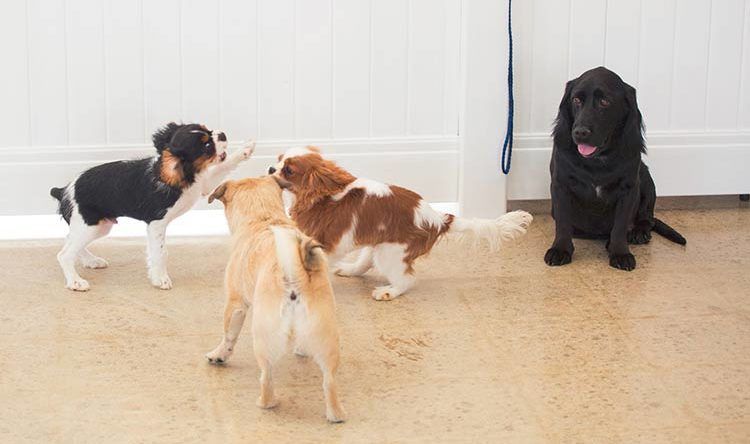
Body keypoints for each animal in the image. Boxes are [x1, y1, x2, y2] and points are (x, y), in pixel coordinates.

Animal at [52, 123, 256, 294]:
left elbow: (224, 166)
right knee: (64, 254)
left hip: (99, 226)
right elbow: (160, 252)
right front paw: (160, 278)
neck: (183, 174)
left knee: (70, 239)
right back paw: (76, 282)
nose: (222, 134)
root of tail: (64, 190)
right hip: (90, 225)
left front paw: (246, 149)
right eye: (206, 146)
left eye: (207, 128)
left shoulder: (202, 186)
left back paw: (91, 261)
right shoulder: (157, 223)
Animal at [206, 175, 346, 422]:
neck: (264, 216)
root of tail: (295, 274)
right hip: (327, 336)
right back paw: (335, 415)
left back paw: (266, 403)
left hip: (262, 340)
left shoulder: (235, 304)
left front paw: (219, 355)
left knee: (267, 376)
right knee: (329, 381)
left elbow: (228, 336)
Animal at [548, 67, 688, 272]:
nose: (580, 132)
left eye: (605, 102)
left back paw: (637, 232)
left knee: (647, 217)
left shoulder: (628, 188)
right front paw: (560, 250)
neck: (597, 161)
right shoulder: (561, 184)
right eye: (576, 100)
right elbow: (563, 222)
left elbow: (620, 225)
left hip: (646, 178)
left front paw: (620, 252)